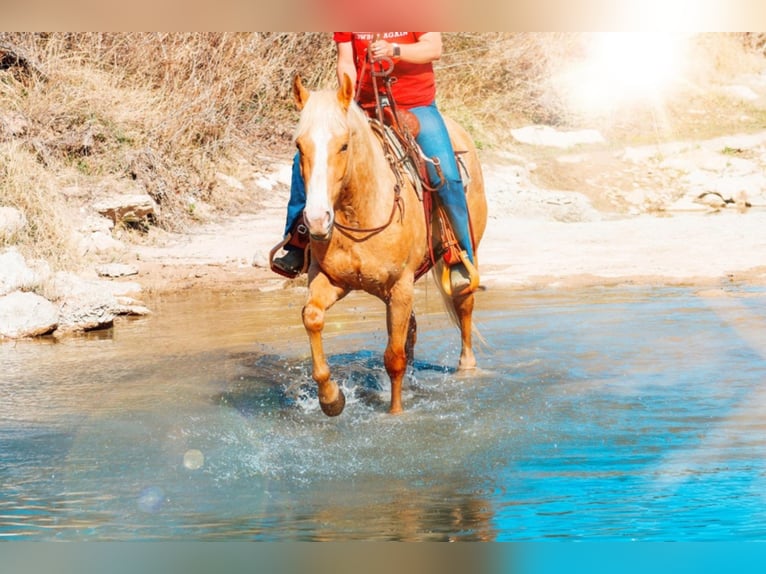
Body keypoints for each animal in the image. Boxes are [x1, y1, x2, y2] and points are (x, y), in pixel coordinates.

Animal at [292, 74, 486, 416]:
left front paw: (395, 415)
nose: (316, 221)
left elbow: (393, 357)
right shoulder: (330, 279)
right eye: (299, 146)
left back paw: (467, 368)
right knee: (411, 332)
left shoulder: (400, 286)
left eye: (344, 145)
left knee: (463, 303)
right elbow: (312, 317)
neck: (360, 213)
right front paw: (331, 399)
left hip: (460, 259)